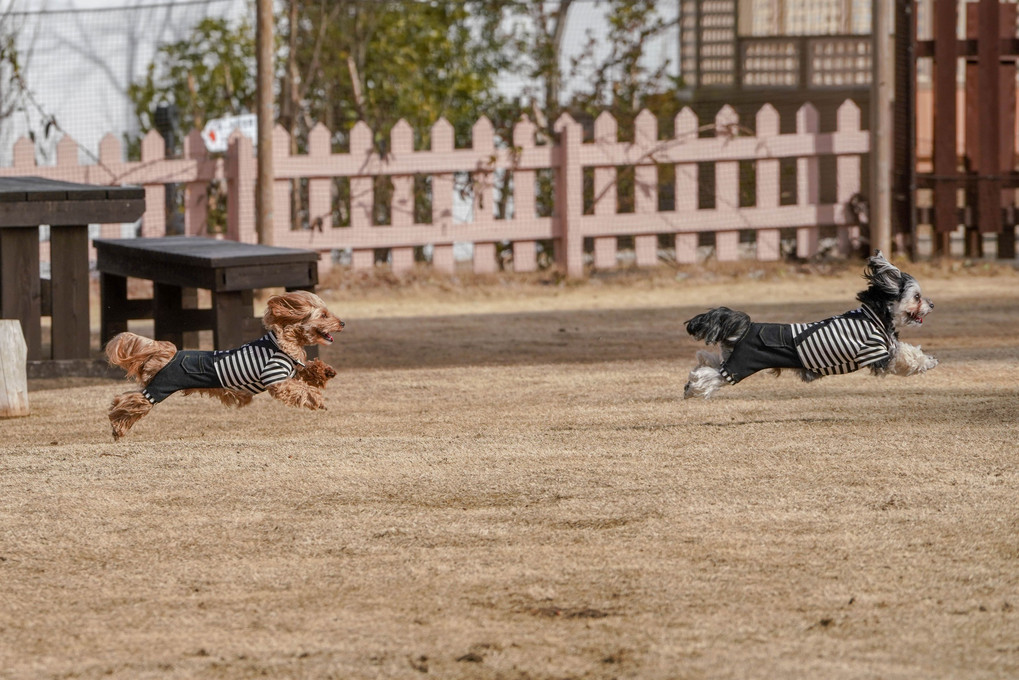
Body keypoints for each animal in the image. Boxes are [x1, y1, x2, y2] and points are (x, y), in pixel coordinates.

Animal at [104, 289, 342, 438]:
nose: (343, 323)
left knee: (127, 398)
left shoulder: (291, 369)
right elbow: (300, 389)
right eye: (324, 315)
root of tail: (170, 354)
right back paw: (116, 424)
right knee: (133, 400)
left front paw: (325, 371)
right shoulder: (276, 380)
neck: (283, 341)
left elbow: (305, 370)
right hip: (160, 387)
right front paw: (318, 399)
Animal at [684, 249, 937, 399]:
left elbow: (904, 348)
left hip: (733, 358)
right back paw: (693, 387)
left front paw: (928, 359)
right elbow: (904, 357)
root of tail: (747, 327)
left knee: (709, 362)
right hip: (742, 365)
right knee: (713, 375)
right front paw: (927, 362)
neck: (874, 315)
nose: (932, 304)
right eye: (917, 297)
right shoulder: (877, 355)